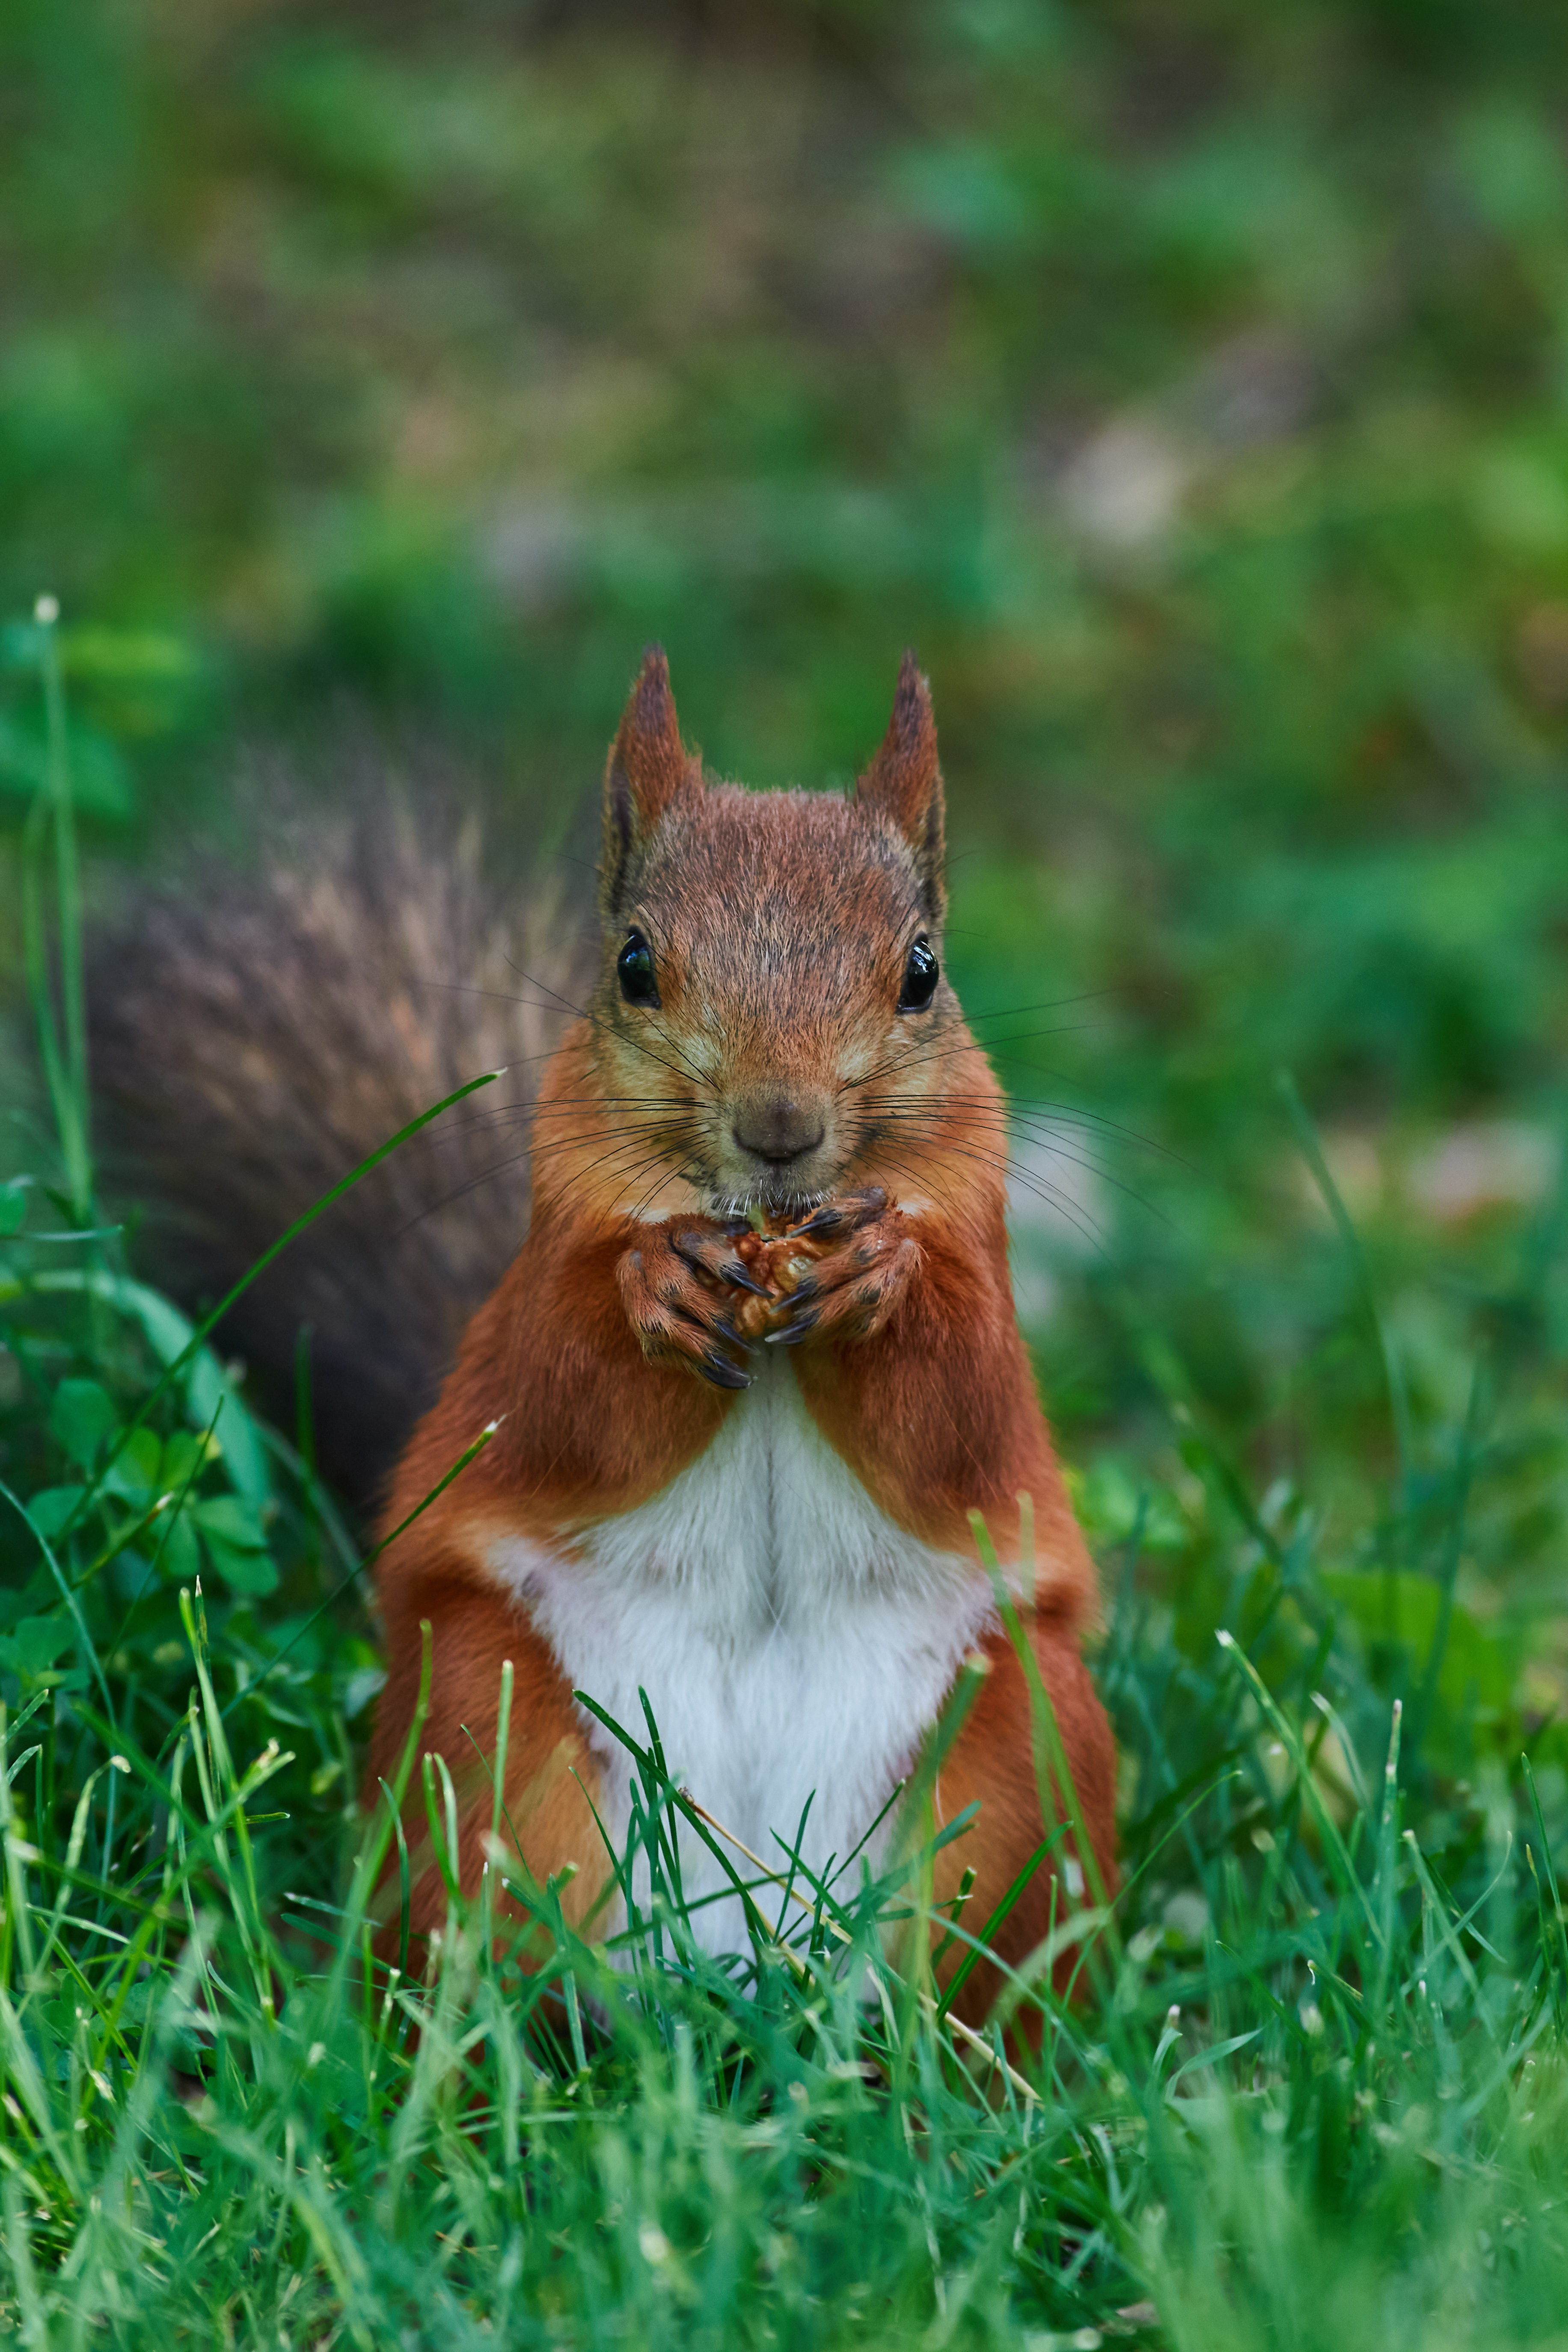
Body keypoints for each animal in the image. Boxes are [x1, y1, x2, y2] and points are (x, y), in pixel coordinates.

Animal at [95, 658, 1114, 2022]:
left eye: (921, 972)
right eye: (635, 964)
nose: (779, 1129)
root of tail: (755, 1941)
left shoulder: (985, 1274)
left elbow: (955, 1421)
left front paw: (885, 1275)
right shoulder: (534, 1290)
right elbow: (569, 1403)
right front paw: (654, 1286)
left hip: (1022, 1755)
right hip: (483, 1732)